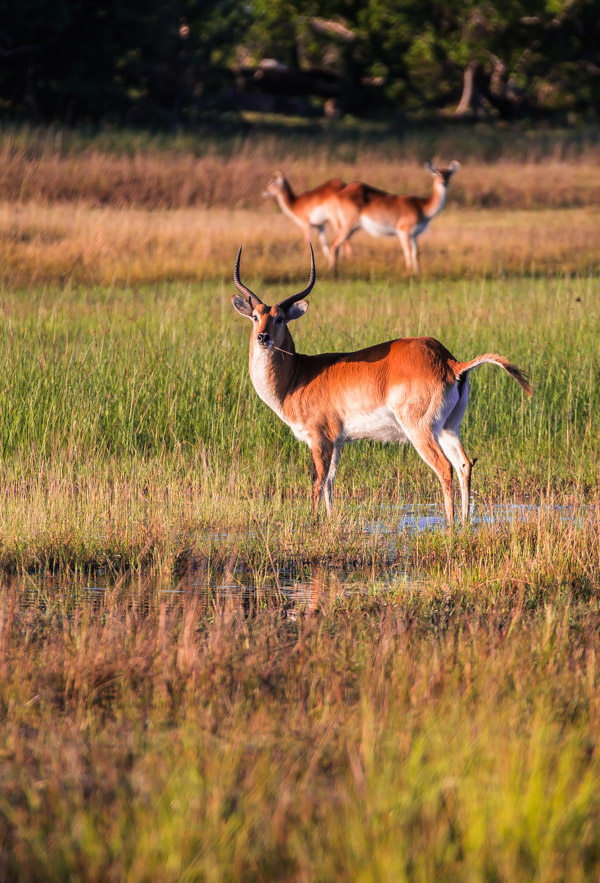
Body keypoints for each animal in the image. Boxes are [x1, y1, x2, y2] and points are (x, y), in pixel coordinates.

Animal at [232, 243, 532, 524]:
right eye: (256, 316)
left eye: (280, 318)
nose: (263, 337)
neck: (297, 377)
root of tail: (450, 362)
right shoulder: (338, 441)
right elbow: (330, 483)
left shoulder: (319, 439)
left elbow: (317, 482)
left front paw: (314, 522)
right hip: (448, 427)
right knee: (464, 465)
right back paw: (466, 523)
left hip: (420, 429)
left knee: (444, 467)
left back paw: (449, 525)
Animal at [328, 161, 460, 272]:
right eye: (435, 173)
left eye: (449, 174)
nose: (443, 183)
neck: (422, 208)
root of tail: (340, 193)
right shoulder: (403, 231)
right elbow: (407, 252)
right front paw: (409, 272)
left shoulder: (415, 235)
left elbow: (415, 253)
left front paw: (417, 273)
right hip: (348, 224)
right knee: (333, 245)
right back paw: (333, 273)